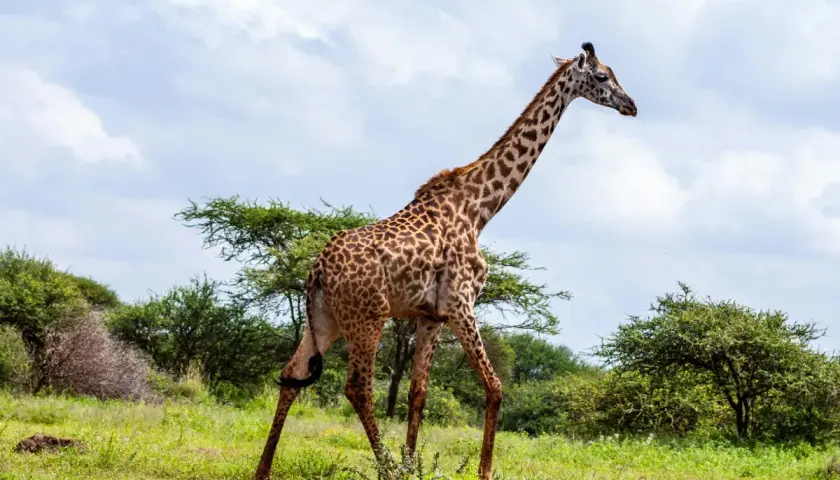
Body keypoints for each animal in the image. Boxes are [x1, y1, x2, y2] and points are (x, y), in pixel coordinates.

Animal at [254, 41, 637, 480]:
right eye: (603, 76)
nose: (631, 105)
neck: (480, 209)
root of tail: (317, 269)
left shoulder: (430, 315)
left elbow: (417, 392)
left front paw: (413, 464)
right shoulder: (461, 303)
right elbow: (494, 387)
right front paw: (480, 471)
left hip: (324, 318)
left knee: (292, 374)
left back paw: (263, 470)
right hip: (367, 317)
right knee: (357, 388)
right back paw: (386, 469)